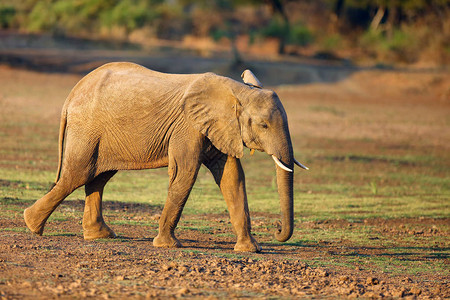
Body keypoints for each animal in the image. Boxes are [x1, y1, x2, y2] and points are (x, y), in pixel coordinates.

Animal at [22, 62, 308, 253]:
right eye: (263, 126)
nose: (277, 229)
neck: (237, 91)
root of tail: (71, 94)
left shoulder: (218, 127)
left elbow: (232, 177)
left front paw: (250, 249)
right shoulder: (188, 126)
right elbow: (186, 172)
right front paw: (168, 245)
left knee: (98, 177)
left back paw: (100, 235)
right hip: (87, 129)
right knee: (76, 175)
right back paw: (32, 225)